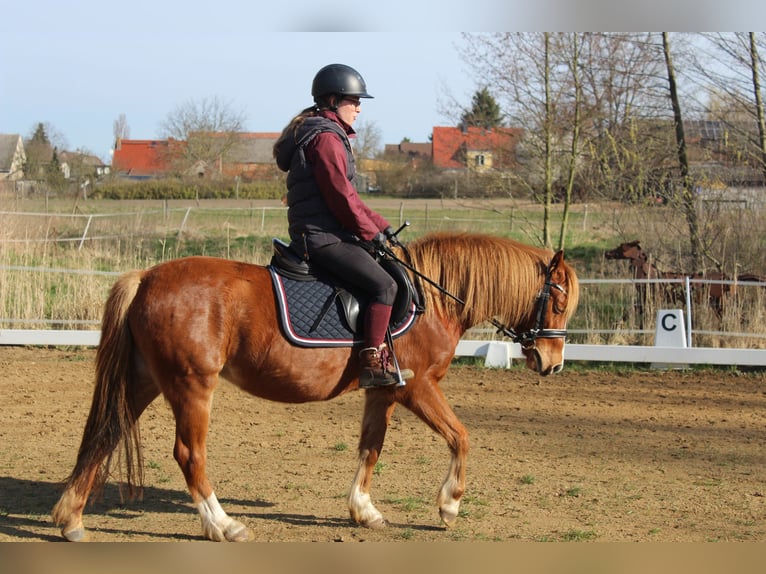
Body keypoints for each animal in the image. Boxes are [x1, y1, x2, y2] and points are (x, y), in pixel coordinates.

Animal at [52, 232, 584, 544]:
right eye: (558, 302)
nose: (553, 364)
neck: (430, 298)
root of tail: (146, 277)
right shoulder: (417, 388)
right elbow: (461, 436)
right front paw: (450, 504)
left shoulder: (383, 391)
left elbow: (371, 448)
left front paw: (364, 511)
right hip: (191, 385)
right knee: (189, 454)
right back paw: (222, 525)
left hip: (145, 379)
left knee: (105, 433)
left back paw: (71, 520)